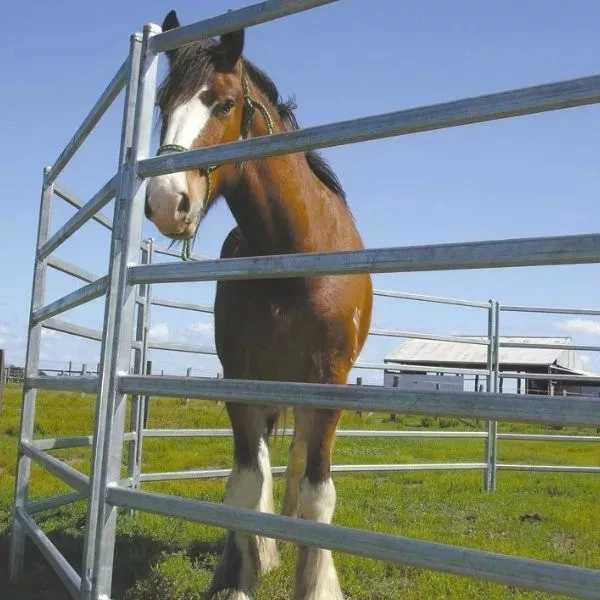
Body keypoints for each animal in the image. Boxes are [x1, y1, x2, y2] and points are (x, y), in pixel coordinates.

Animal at [144, 10, 372, 600]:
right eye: (162, 105)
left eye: (223, 103)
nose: (164, 202)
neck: (293, 255)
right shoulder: (241, 376)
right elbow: (246, 483)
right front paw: (241, 575)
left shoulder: (328, 382)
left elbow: (316, 490)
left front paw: (316, 581)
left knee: (296, 463)